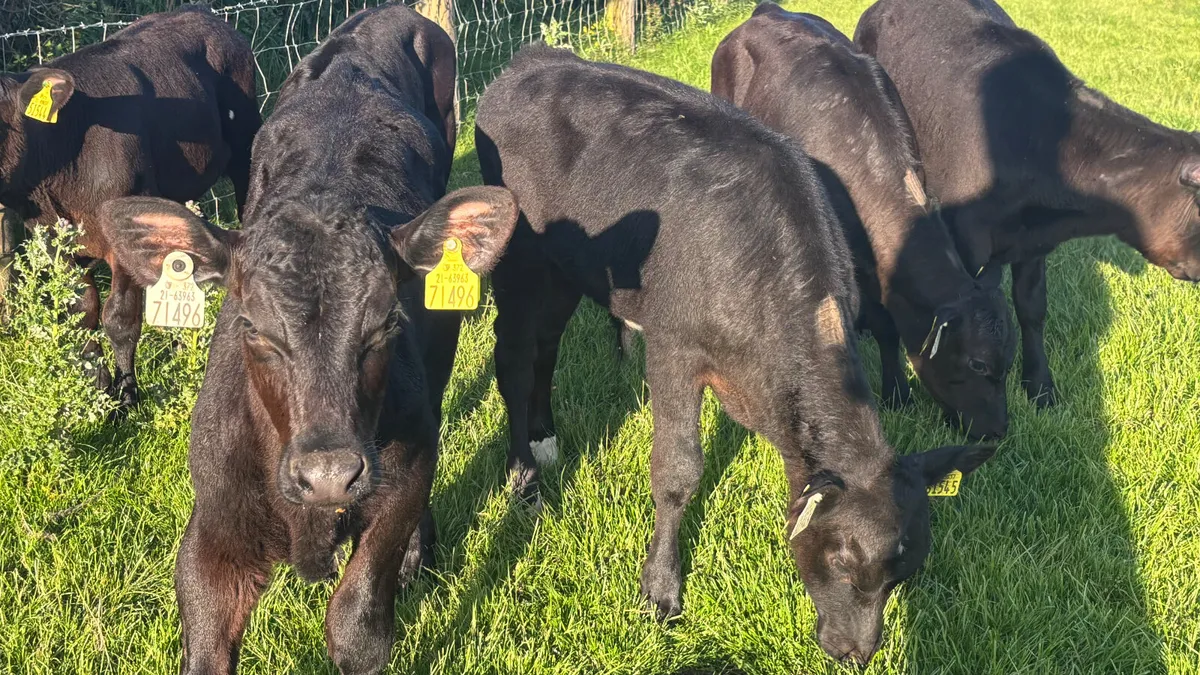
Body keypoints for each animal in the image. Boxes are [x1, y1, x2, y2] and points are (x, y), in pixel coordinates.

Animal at [0, 5, 262, 408]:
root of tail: (202, 12)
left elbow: (120, 319)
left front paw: (125, 398)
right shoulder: (54, 241)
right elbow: (82, 312)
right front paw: (98, 391)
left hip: (247, 142)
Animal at [98, 5, 518, 673]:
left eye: (386, 323)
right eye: (253, 328)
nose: (328, 475)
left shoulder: (403, 477)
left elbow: (358, 625)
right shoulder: (212, 536)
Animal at [475, 44, 994, 665]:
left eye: (904, 573)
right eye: (843, 560)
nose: (855, 652)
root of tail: (530, 58)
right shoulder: (673, 347)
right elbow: (677, 472)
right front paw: (660, 590)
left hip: (566, 268)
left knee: (546, 345)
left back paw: (545, 438)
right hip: (520, 259)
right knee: (514, 356)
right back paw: (523, 478)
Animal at [712, 3, 1015, 439]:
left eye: (1009, 359)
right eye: (978, 363)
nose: (997, 430)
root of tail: (767, 11)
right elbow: (886, 326)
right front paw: (897, 394)